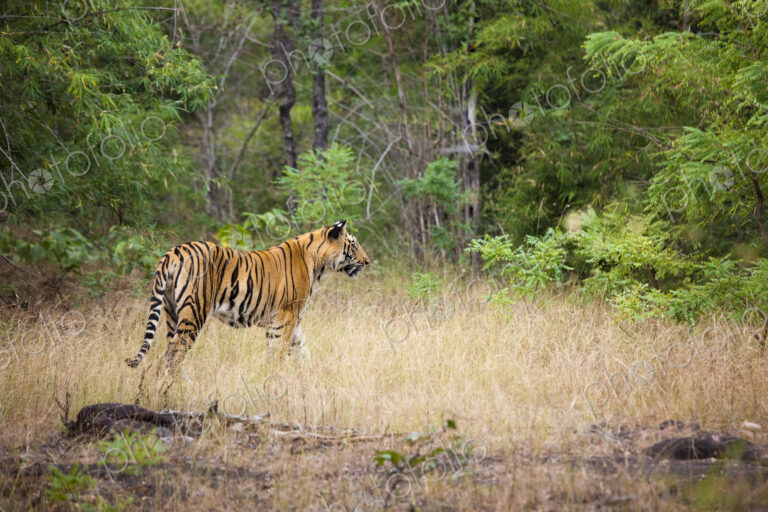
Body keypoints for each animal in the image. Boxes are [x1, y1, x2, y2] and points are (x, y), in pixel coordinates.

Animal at [125, 220, 370, 371]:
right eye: (354, 244)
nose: (368, 261)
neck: (318, 264)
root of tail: (173, 251)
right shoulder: (286, 317)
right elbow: (279, 352)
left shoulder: (293, 321)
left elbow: (302, 351)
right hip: (194, 312)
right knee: (171, 355)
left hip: (172, 313)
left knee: (171, 354)